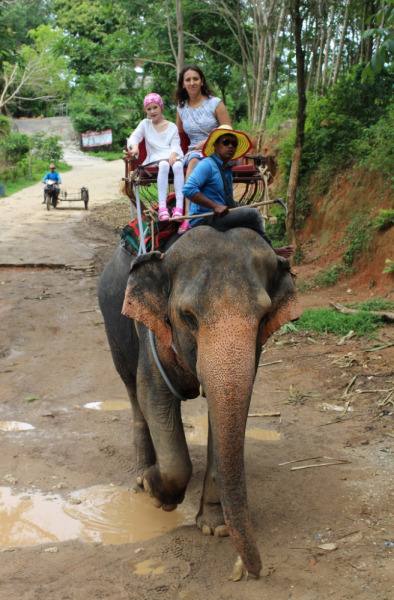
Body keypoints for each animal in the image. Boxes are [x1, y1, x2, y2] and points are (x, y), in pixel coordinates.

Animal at [98, 224, 302, 576]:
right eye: (188, 316)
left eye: (264, 318)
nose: (256, 572)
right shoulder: (153, 334)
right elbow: (153, 396)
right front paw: (156, 492)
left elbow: (224, 418)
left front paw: (214, 527)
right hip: (113, 321)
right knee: (132, 391)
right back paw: (140, 477)